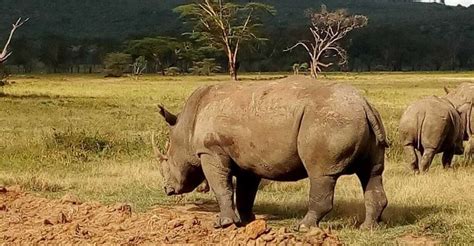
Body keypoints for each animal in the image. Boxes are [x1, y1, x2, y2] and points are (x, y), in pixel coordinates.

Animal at [156, 77, 388, 231]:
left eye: (166, 159)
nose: (167, 189)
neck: (185, 128)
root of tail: (363, 104)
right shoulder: (247, 160)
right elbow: (245, 193)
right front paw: (248, 222)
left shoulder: (210, 151)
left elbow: (222, 187)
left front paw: (224, 224)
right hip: (356, 118)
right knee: (372, 173)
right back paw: (367, 228)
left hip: (328, 121)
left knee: (321, 174)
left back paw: (302, 228)